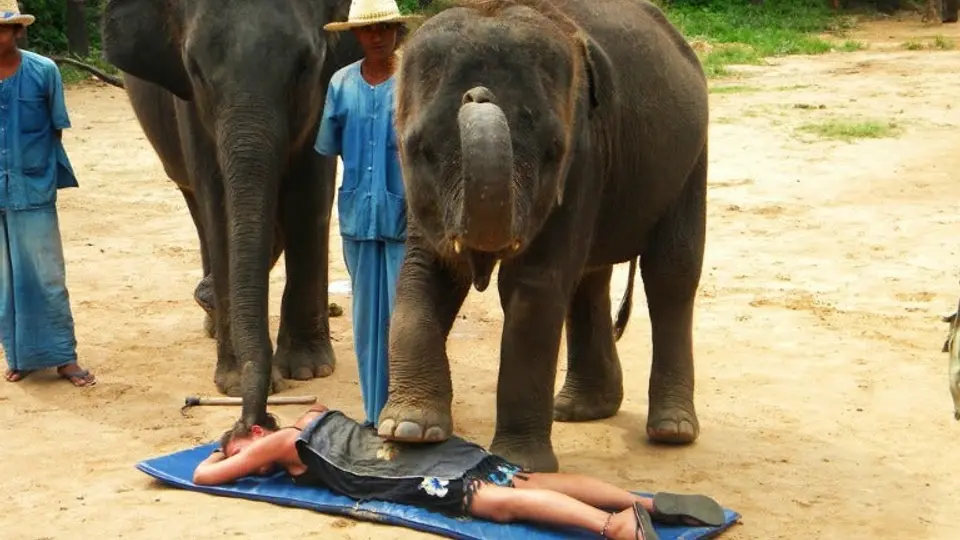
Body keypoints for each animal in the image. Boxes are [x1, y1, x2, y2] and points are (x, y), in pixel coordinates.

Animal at [100, 0, 366, 426]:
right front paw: (236, 384)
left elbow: (309, 193)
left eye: (305, 65)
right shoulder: (188, 101)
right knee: (196, 204)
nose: (255, 419)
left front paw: (308, 370)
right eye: (194, 67)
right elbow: (218, 197)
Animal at [376, 0, 710, 473]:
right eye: (419, 148)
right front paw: (408, 430)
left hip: (690, 159)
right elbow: (427, 272)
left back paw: (671, 431)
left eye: (554, 150)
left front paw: (521, 465)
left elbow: (532, 285)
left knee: (671, 274)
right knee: (590, 278)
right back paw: (578, 410)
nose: (477, 95)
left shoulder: (584, 156)